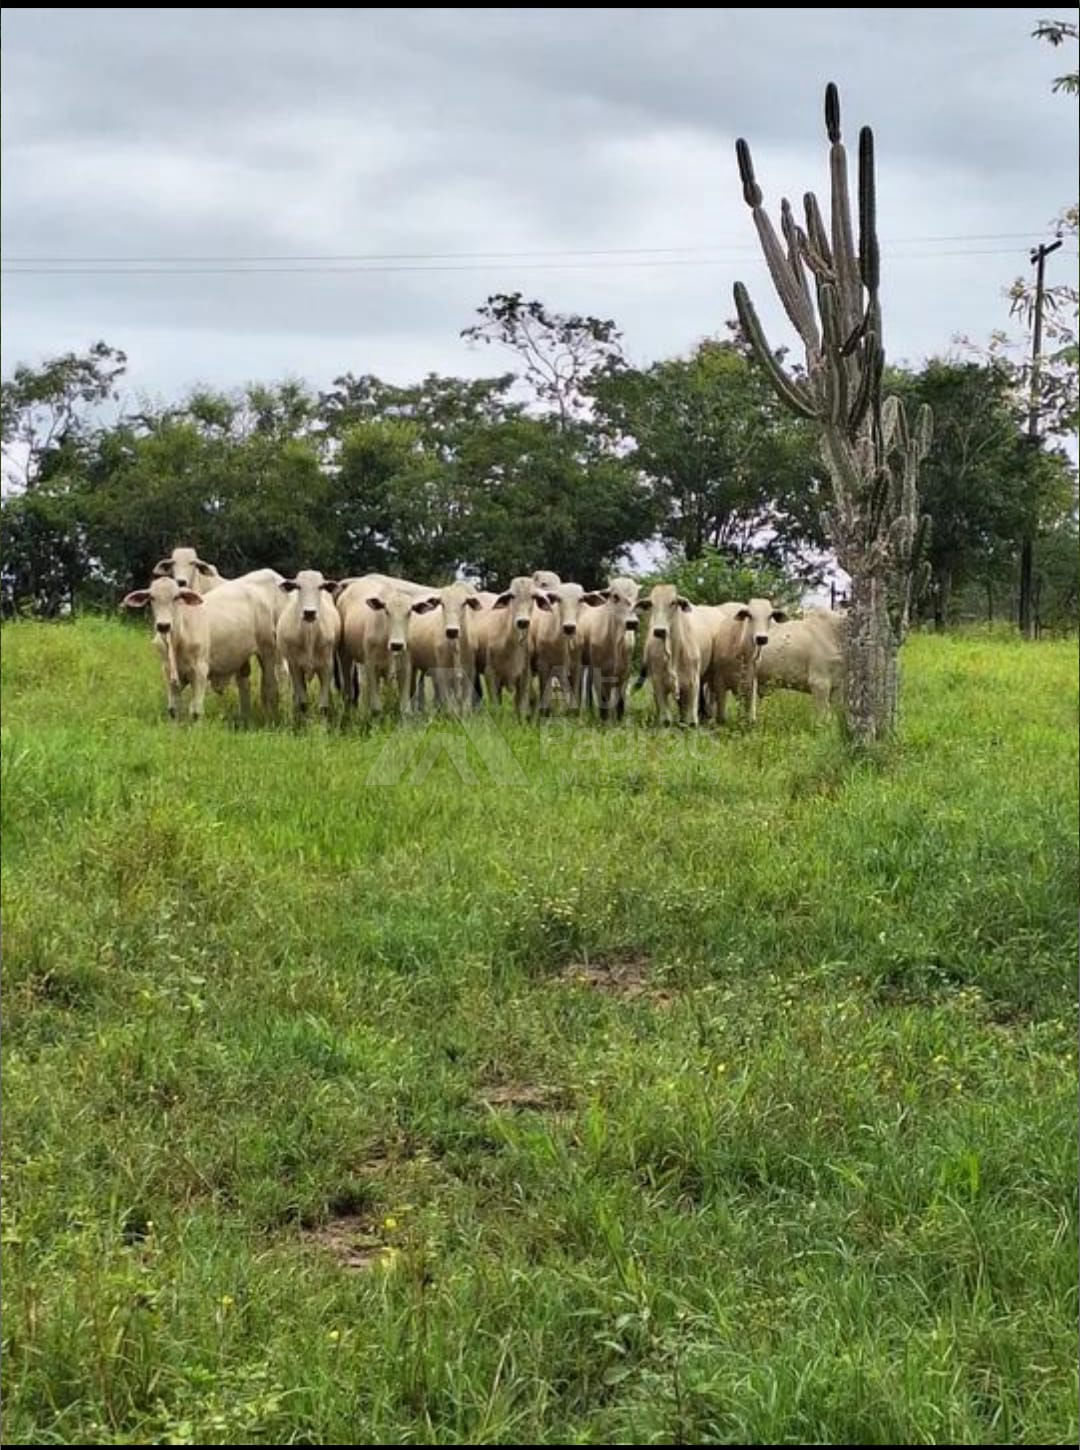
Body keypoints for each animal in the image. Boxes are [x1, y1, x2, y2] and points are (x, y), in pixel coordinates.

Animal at [275, 571, 343, 719]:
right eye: (298, 586)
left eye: (321, 586)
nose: (309, 613)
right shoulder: (295, 666)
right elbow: (303, 703)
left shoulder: (327, 666)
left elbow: (323, 706)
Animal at [336, 577, 437, 713]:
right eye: (387, 611)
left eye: (409, 612)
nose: (397, 644)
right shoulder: (371, 666)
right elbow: (376, 707)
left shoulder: (405, 666)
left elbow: (404, 707)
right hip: (345, 655)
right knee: (348, 687)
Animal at [405, 580, 481, 710]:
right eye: (443, 604)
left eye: (464, 603)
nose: (452, 631)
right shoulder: (442, 672)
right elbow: (449, 705)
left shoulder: (470, 671)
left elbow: (465, 705)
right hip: (411, 664)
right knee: (411, 690)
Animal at [472, 574, 550, 716]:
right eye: (512, 596)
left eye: (533, 596)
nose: (523, 622)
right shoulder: (490, 674)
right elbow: (496, 708)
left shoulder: (525, 676)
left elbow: (522, 708)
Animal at [698, 594, 782, 725]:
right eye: (750, 615)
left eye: (770, 616)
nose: (761, 638)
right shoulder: (719, 681)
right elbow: (721, 717)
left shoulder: (749, 682)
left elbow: (747, 712)